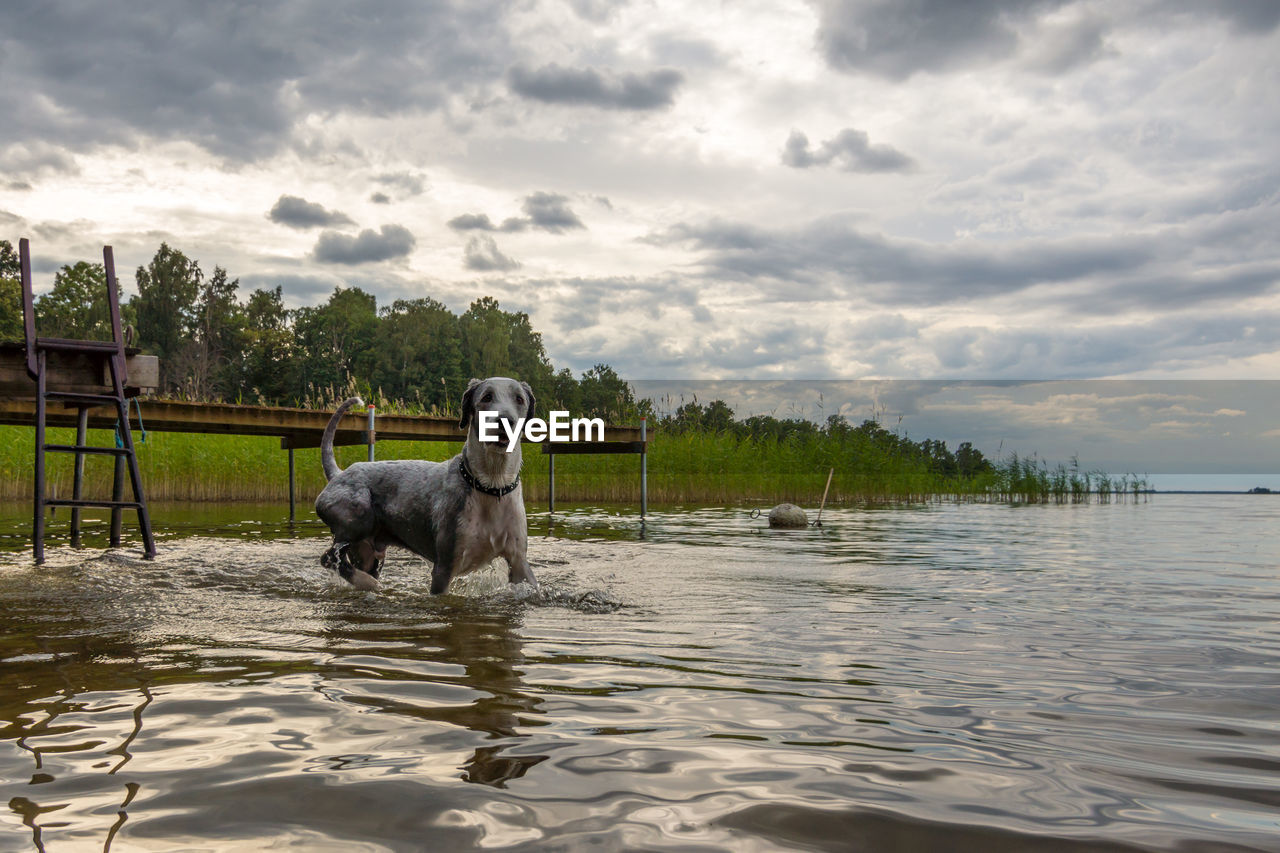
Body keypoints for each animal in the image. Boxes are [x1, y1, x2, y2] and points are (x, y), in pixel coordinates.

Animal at [320, 376, 540, 591]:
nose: (505, 420)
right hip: (358, 516)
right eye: (487, 397)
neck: (491, 485)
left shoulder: (518, 560)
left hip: (368, 552)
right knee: (328, 558)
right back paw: (368, 583)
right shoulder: (444, 565)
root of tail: (338, 474)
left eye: (519, 399)